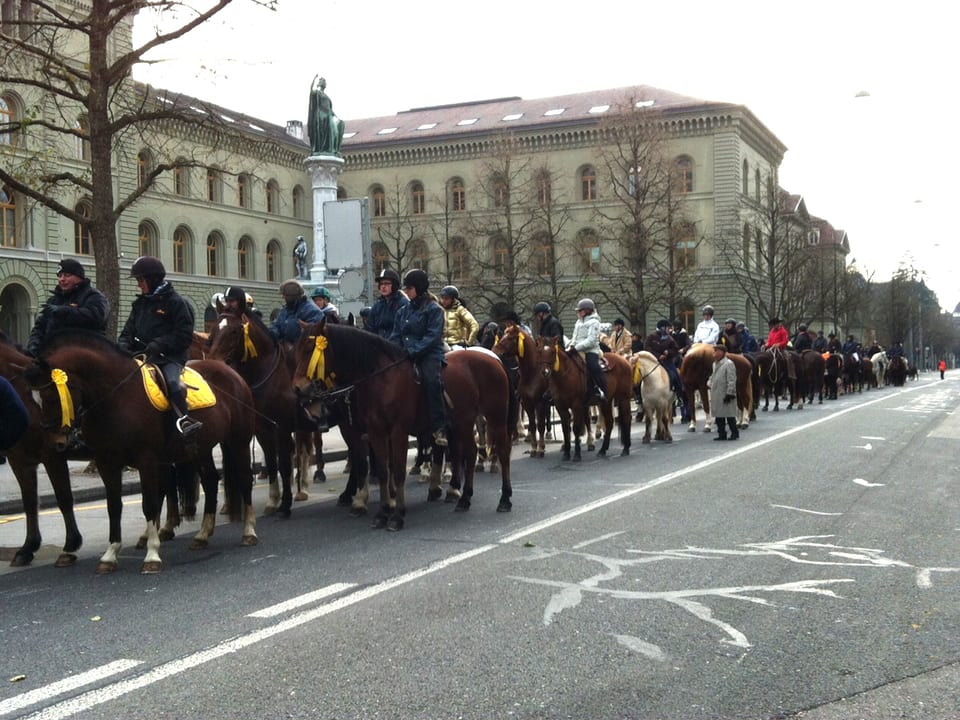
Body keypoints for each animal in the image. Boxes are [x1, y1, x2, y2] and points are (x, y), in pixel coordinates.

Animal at [25, 332, 258, 572]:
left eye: (52, 397)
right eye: (34, 399)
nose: (56, 443)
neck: (117, 397)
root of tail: (231, 373)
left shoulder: (146, 460)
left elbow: (149, 504)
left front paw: (152, 555)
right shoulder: (106, 462)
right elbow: (114, 506)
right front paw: (110, 555)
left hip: (238, 442)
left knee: (245, 479)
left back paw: (249, 532)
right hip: (201, 448)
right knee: (210, 481)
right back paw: (202, 535)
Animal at [288, 322, 512, 528]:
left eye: (310, 349)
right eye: (296, 351)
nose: (298, 389)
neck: (381, 379)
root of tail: (492, 358)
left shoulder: (397, 432)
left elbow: (397, 470)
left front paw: (397, 515)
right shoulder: (376, 432)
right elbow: (382, 470)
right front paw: (382, 512)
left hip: (496, 416)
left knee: (502, 451)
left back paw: (504, 499)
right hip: (463, 420)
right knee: (470, 452)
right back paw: (464, 499)